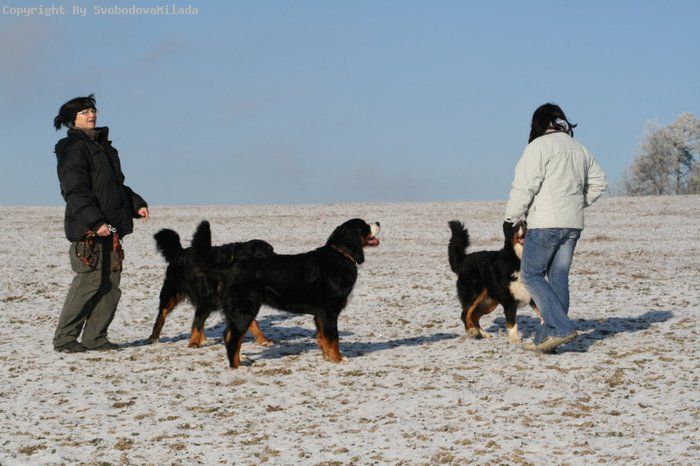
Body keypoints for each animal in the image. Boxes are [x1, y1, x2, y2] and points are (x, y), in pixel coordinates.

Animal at [206, 218, 380, 368]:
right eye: (365, 225)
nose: (378, 222)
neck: (341, 255)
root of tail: (230, 268)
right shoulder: (329, 311)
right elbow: (333, 338)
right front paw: (338, 359)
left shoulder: (320, 314)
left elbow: (323, 337)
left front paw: (328, 358)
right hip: (244, 310)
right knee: (233, 338)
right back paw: (237, 366)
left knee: (228, 335)